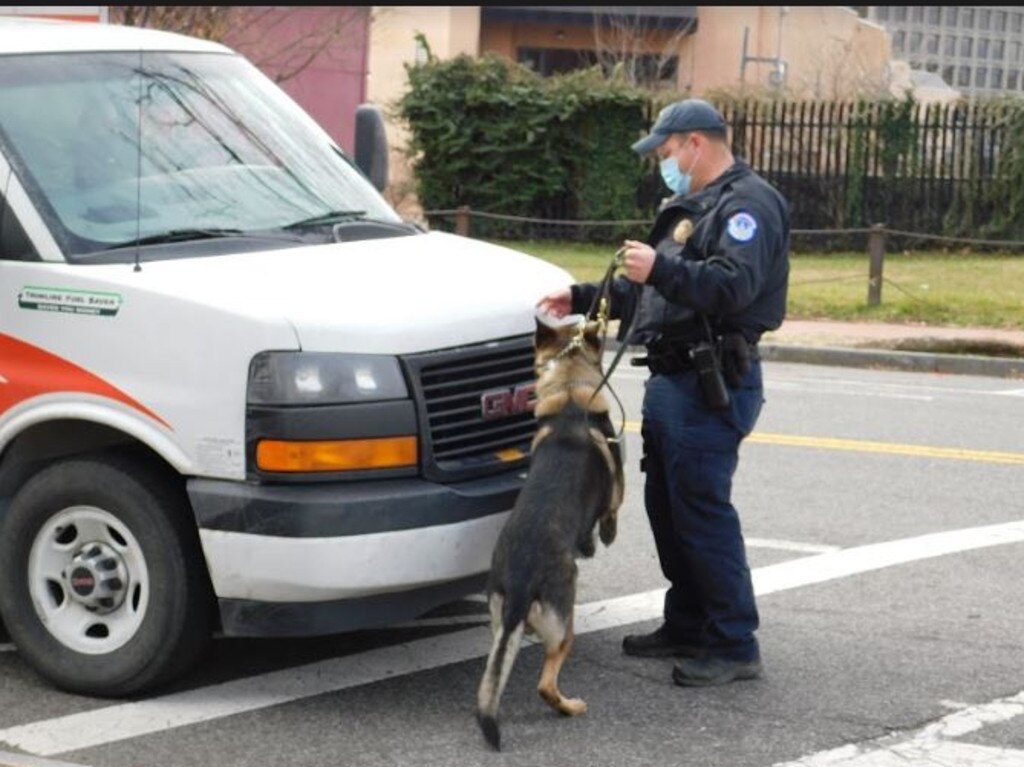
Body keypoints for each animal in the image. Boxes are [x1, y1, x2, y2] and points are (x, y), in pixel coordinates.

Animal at [477, 315, 622, 749]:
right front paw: (604, 537)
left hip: (499, 624)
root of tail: (522, 580)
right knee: (546, 682)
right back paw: (570, 706)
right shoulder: (616, 496)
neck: (571, 395)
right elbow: (610, 516)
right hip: (563, 625)